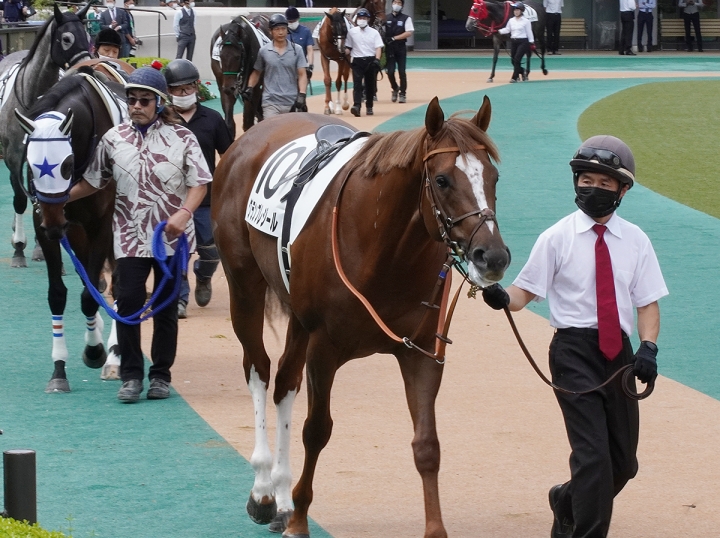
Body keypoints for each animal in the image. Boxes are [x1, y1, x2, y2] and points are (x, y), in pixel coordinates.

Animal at [0, 3, 93, 268]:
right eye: (67, 38)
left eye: (87, 36)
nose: (87, 65)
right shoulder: (13, 156)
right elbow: (20, 198)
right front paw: (19, 249)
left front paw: (39, 248)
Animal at [14, 71, 126, 392]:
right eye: (32, 166)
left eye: (65, 165)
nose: (54, 225)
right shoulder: (44, 222)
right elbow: (58, 294)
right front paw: (59, 370)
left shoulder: (102, 224)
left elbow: (90, 295)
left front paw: (96, 351)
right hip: (75, 232)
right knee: (88, 273)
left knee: (116, 283)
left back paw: (114, 354)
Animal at [212, 96, 511, 537]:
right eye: (442, 180)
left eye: (493, 176)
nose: (492, 256)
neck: (384, 249)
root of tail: (254, 132)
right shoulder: (323, 347)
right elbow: (316, 430)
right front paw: (300, 519)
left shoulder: (421, 352)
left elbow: (427, 444)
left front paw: (435, 528)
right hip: (245, 287)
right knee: (259, 369)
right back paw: (265, 490)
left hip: (298, 317)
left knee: (284, 381)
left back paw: (280, 495)